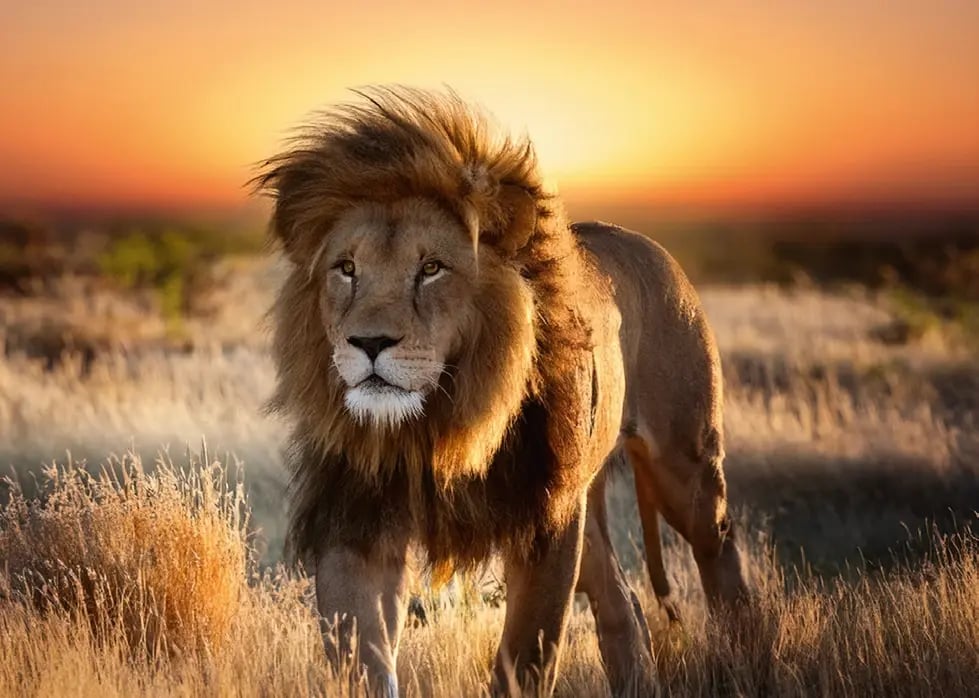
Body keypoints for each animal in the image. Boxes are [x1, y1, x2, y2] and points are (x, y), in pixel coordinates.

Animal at [254, 86, 749, 697]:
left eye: (432, 268)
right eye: (346, 268)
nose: (367, 342)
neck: (437, 423)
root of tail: (645, 243)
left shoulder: (546, 520)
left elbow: (526, 656)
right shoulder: (357, 518)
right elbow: (362, 659)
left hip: (682, 462)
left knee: (721, 551)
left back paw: (745, 662)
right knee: (623, 603)